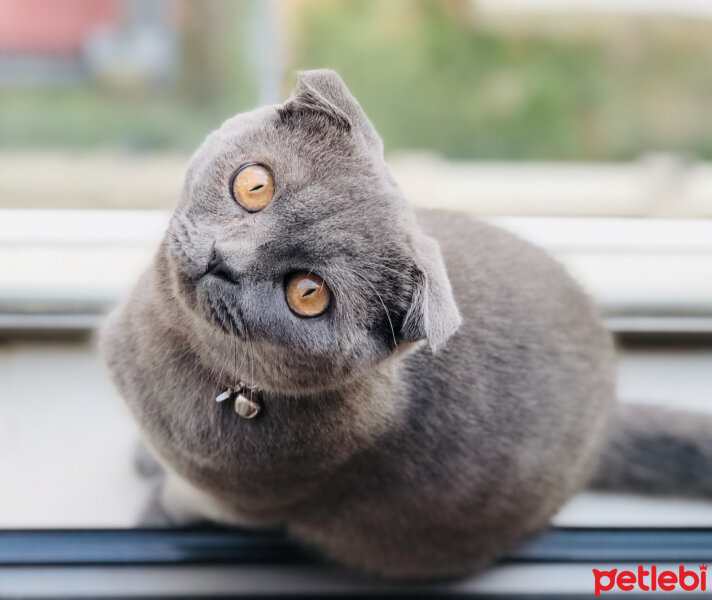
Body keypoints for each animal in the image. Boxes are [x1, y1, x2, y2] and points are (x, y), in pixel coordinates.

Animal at [101, 70, 712, 580]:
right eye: (255, 185)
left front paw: (154, 510)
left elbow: (184, 498)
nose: (225, 261)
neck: (171, 344)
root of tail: (610, 416)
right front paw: (143, 458)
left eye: (308, 294)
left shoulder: (239, 500)